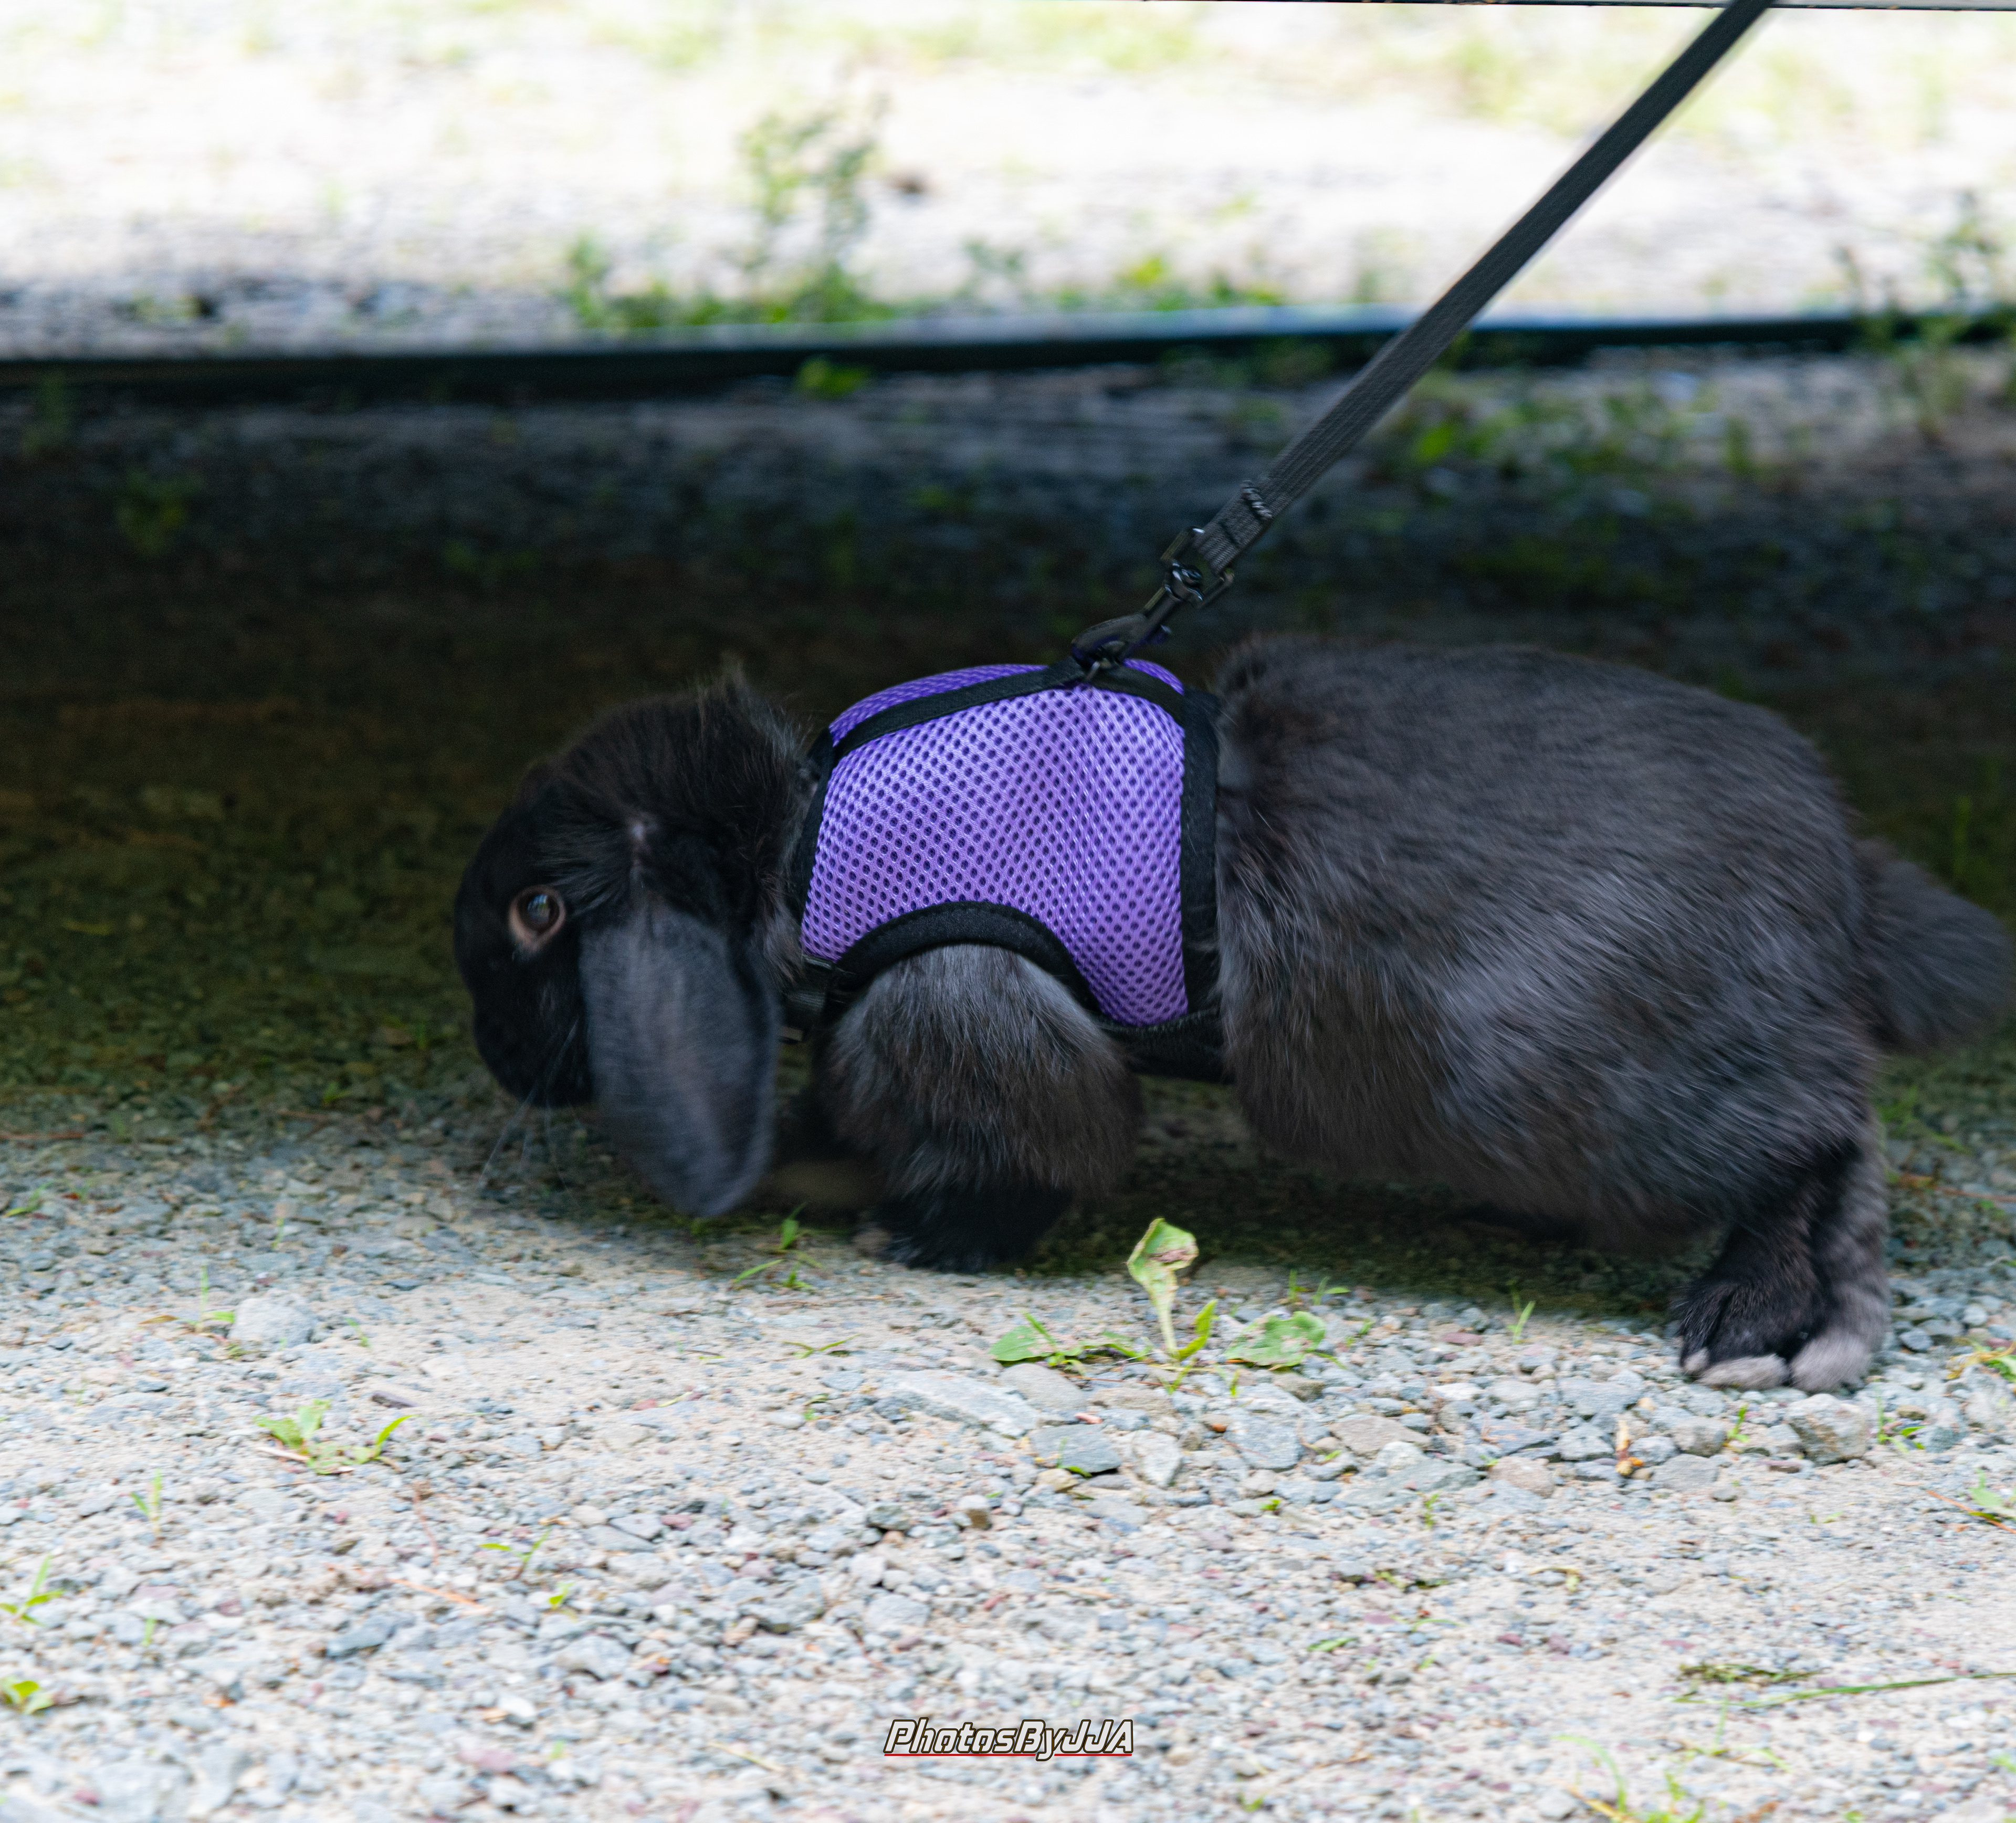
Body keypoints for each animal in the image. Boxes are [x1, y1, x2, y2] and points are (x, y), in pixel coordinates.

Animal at [453, 637, 2010, 1394]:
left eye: (537, 915)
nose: (490, 1050)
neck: (793, 840)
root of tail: (1835, 870)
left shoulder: (961, 999)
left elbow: (1025, 1147)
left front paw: (925, 1241)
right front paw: (824, 1172)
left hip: (1600, 1096)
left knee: (1820, 1137)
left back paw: (1758, 1326)